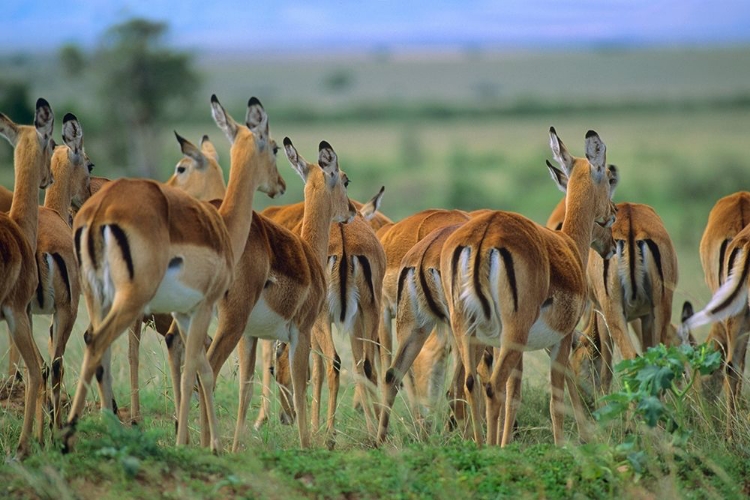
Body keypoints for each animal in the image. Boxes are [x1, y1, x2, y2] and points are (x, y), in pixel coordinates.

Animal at [61, 94, 284, 454]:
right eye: (275, 147)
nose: (280, 184)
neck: (223, 225)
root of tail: (99, 211)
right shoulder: (202, 308)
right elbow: (199, 366)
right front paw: (199, 443)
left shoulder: (184, 314)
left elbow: (199, 367)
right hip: (134, 300)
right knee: (101, 343)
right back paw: (76, 435)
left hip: (99, 297)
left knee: (96, 346)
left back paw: (107, 427)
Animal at [440, 128, 616, 446]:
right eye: (608, 178)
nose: (614, 213)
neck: (570, 245)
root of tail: (483, 235)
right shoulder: (562, 338)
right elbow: (556, 397)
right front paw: (561, 445)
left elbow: (517, 394)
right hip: (512, 332)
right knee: (492, 386)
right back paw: (490, 450)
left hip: (468, 331)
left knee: (470, 385)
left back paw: (479, 446)